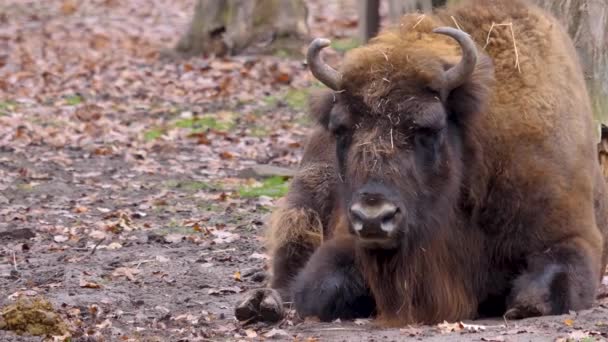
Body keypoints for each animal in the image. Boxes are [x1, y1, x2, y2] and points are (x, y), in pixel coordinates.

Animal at [234, 0, 608, 326]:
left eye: (427, 128)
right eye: (341, 129)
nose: (374, 218)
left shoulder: (570, 237)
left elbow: (545, 287)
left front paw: (522, 306)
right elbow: (319, 288)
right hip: (306, 198)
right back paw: (261, 305)